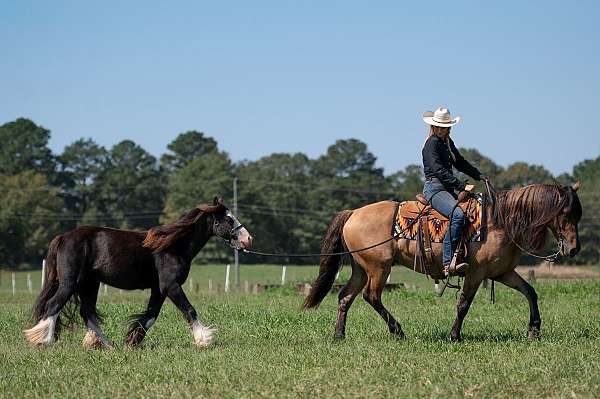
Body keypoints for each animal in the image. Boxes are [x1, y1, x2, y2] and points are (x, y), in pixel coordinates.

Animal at [24, 198, 251, 348]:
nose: (248, 239)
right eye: (229, 219)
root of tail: (63, 237)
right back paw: (43, 340)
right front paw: (204, 339)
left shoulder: (159, 289)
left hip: (89, 285)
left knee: (87, 313)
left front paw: (132, 340)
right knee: (53, 305)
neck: (173, 245)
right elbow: (189, 310)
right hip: (70, 283)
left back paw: (106, 345)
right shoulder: (171, 286)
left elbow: (150, 316)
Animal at [304, 183, 580, 342]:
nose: (574, 248)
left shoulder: (502, 273)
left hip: (361, 269)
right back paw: (398, 331)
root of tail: (353, 213)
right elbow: (463, 304)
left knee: (345, 297)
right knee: (371, 296)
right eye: (566, 213)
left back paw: (339, 335)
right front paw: (454, 335)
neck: (500, 221)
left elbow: (530, 292)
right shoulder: (476, 272)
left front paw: (534, 329)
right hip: (378, 268)